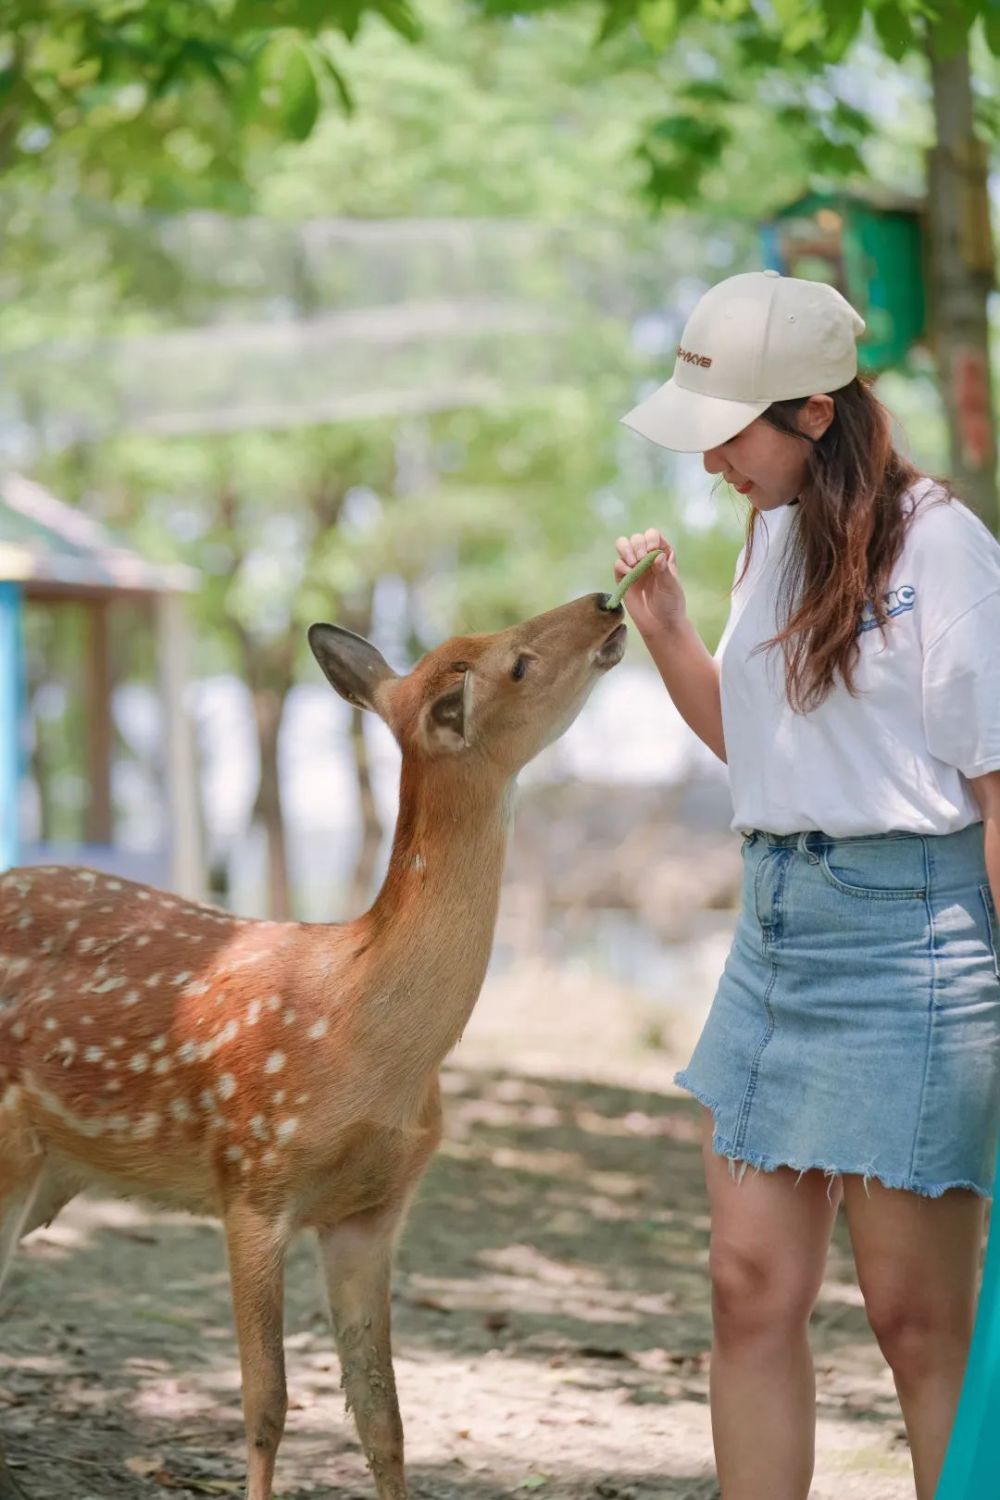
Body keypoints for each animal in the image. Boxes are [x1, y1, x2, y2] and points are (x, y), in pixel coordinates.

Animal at [0, 591, 626, 1494]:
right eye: (516, 662)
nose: (607, 600)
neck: (365, 1037)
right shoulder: (252, 1178)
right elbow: (267, 1404)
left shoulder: (373, 1211)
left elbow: (383, 1414)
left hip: (47, 1168)